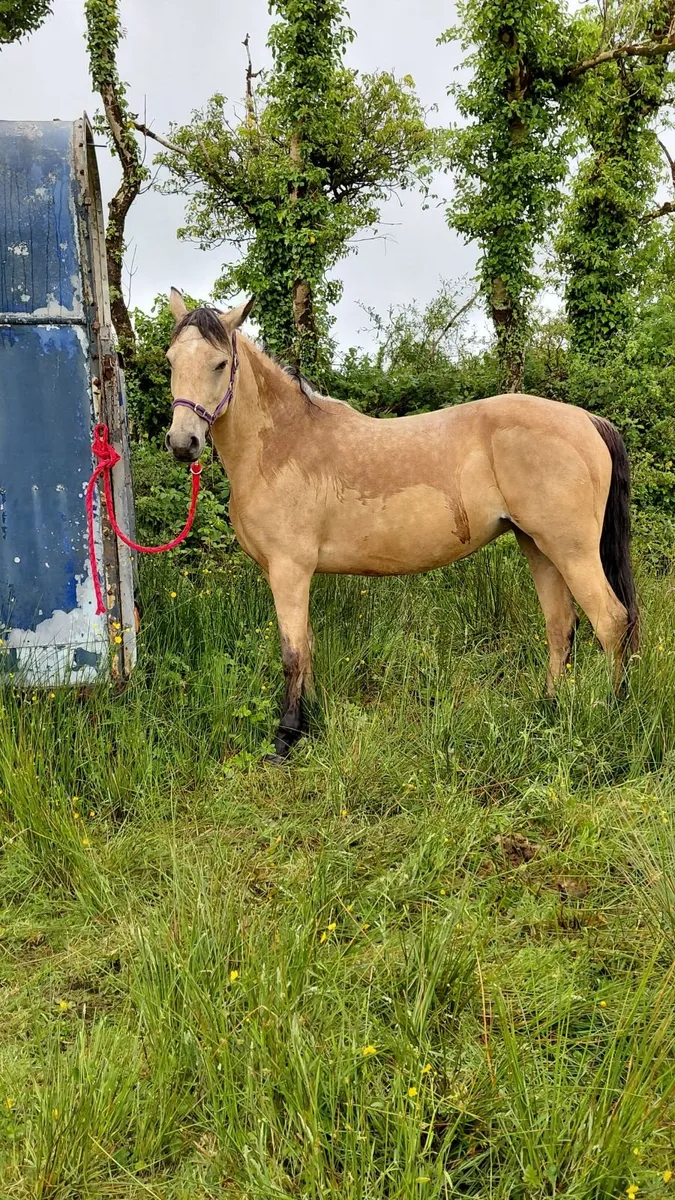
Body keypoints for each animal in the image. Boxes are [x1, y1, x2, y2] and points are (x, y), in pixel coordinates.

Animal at [165, 290, 638, 764]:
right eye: (170, 361)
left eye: (220, 363)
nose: (183, 443)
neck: (284, 443)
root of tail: (587, 421)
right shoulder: (292, 575)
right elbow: (309, 647)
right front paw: (312, 723)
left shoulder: (288, 570)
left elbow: (293, 652)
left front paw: (286, 738)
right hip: (538, 546)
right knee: (561, 626)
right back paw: (548, 708)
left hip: (572, 551)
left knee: (612, 622)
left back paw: (613, 712)